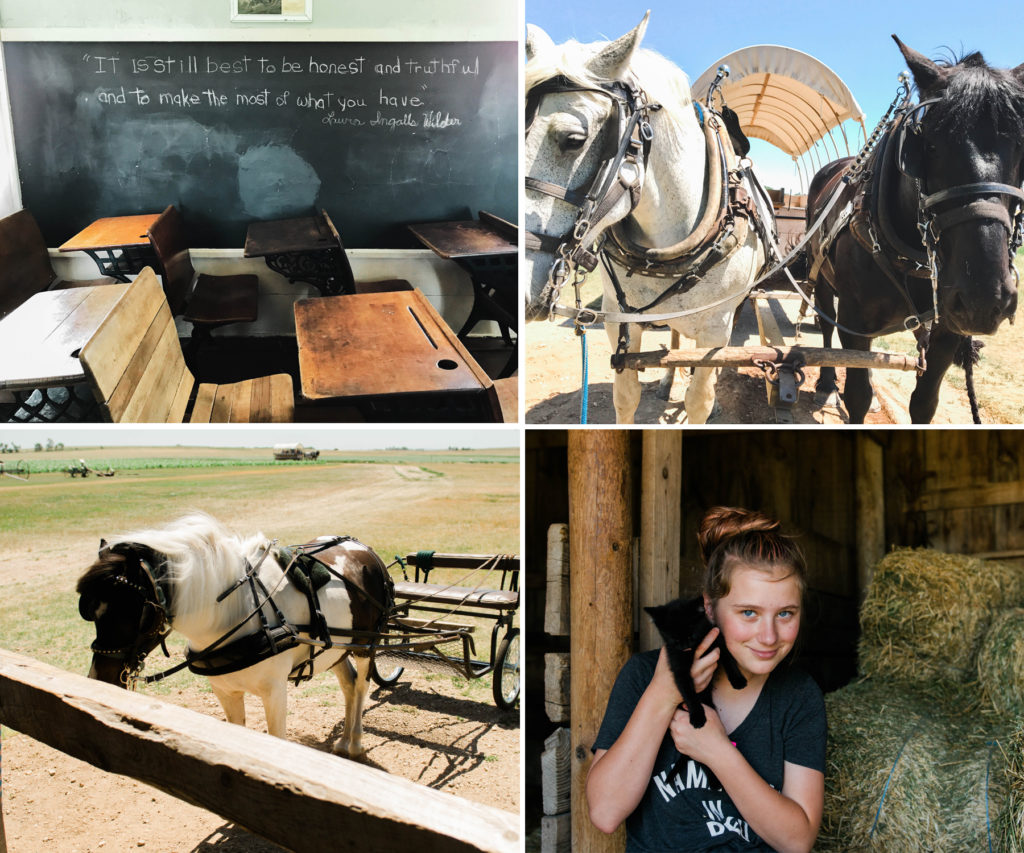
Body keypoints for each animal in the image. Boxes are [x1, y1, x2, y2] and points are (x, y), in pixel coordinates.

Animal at [75, 509, 393, 753]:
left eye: (131, 611)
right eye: (91, 612)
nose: (98, 678)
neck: (238, 610)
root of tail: (366, 550)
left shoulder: (275, 692)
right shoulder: (224, 691)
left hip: (366, 645)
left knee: (361, 686)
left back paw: (355, 743)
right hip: (337, 649)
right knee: (349, 684)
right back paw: (343, 741)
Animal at [528, 14, 770, 421]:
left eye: (573, 140)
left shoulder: (715, 332)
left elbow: (700, 399)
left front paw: (707, 400)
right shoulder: (619, 320)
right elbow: (626, 397)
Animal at [647, 593, 745, 782]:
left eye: (691, 632)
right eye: (672, 637)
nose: (684, 644)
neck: (692, 651)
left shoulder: (718, 641)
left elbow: (730, 661)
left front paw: (738, 680)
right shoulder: (678, 667)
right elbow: (688, 692)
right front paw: (698, 716)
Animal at [806, 36, 1024, 421]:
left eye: (1020, 147)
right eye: (929, 145)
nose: (985, 298)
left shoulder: (948, 328)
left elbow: (924, 403)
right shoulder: (854, 322)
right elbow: (858, 395)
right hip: (822, 279)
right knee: (827, 325)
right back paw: (826, 382)